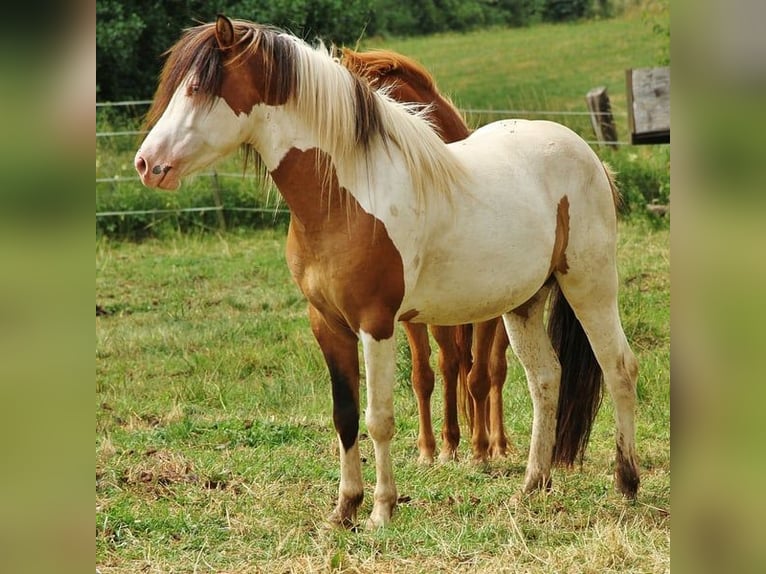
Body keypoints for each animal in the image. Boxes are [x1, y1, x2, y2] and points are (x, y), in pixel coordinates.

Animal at [340, 47, 512, 463]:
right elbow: (424, 374)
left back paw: (496, 443)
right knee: (454, 362)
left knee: (493, 368)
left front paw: (479, 448)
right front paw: (431, 449)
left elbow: (479, 374)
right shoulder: (408, 314)